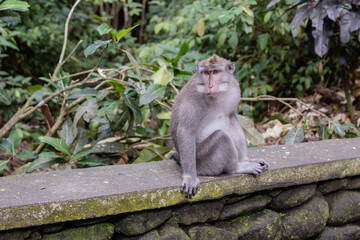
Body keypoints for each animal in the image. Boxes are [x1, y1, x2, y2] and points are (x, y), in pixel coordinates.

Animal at [170, 55, 268, 198]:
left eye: (215, 72)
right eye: (206, 73)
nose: (210, 85)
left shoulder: (234, 88)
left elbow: (231, 116)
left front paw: (246, 159)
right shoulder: (194, 98)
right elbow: (186, 131)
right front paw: (190, 178)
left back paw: (244, 161)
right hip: (202, 162)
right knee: (221, 137)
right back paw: (237, 168)